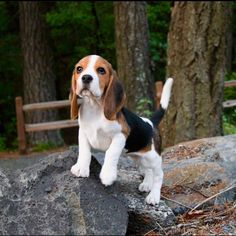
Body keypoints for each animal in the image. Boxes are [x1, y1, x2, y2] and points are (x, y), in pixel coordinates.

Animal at [69, 54, 172, 205]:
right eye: (79, 69)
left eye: (101, 70)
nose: (86, 77)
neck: (95, 108)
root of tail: (151, 122)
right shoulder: (83, 132)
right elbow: (84, 150)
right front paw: (81, 167)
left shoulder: (121, 135)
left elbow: (110, 153)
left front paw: (107, 175)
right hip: (139, 158)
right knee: (148, 171)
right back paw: (147, 184)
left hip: (153, 157)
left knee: (159, 174)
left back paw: (154, 196)